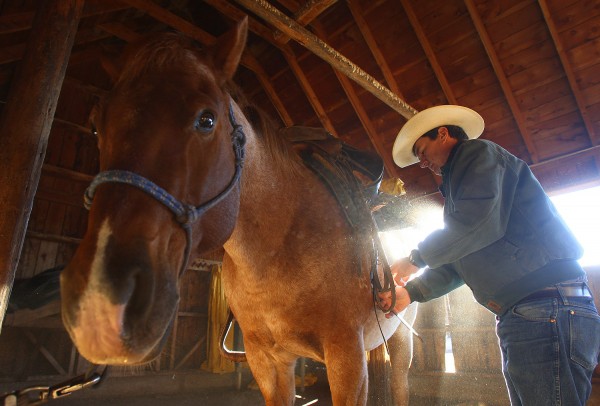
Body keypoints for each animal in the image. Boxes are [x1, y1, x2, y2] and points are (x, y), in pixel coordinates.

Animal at [62, 17, 418, 404]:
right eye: (95, 125)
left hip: (401, 340)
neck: (278, 250)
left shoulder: (347, 358)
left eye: (207, 120)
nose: (100, 304)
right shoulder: (267, 361)